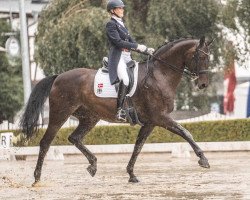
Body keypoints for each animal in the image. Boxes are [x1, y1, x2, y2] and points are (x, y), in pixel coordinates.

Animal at [19, 36, 212, 186]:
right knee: (45, 142)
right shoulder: (161, 117)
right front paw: (203, 159)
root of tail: (58, 76)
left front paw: (131, 174)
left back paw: (93, 165)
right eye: (200, 56)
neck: (159, 75)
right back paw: (37, 178)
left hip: (90, 117)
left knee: (74, 138)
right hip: (60, 114)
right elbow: (186, 133)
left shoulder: (150, 122)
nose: (203, 84)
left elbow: (138, 146)